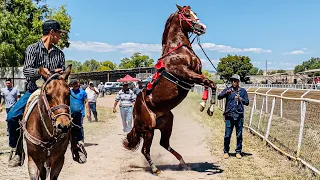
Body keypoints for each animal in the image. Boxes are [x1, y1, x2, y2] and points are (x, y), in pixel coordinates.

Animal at [122, 4, 218, 175]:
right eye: (187, 14)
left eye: (195, 13)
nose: (202, 27)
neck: (177, 51)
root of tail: (135, 111)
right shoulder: (186, 74)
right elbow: (211, 83)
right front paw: (207, 107)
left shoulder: (197, 74)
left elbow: (209, 83)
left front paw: (205, 106)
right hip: (148, 129)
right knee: (145, 150)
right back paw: (155, 169)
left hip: (167, 123)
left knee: (164, 144)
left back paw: (183, 163)